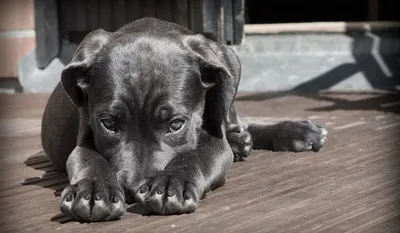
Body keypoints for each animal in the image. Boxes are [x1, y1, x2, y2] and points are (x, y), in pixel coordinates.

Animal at [40, 17, 328, 221]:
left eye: (176, 124)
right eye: (108, 124)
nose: (133, 190)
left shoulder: (215, 141)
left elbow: (196, 155)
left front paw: (171, 183)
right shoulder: (84, 137)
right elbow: (88, 159)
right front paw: (92, 190)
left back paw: (294, 132)